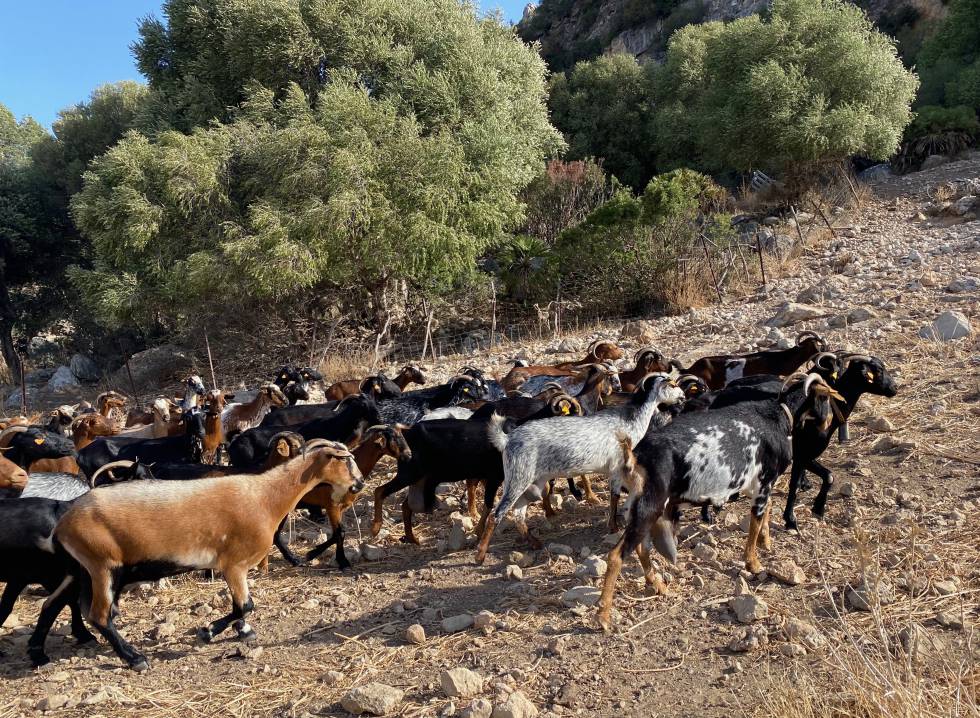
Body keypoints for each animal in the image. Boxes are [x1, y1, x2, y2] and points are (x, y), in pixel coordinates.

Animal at [43, 442, 362, 671]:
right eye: (345, 459)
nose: (358, 484)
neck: (264, 497)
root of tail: (64, 523)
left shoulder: (235, 568)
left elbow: (240, 606)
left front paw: (240, 631)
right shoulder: (233, 564)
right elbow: (245, 605)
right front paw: (208, 631)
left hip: (83, 569)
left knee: (60, 605)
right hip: (102, 565)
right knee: (99, 614)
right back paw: (135, 658)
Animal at [475, 375, 685, 561]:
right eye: (672, 384)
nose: (683, 397)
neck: (630, 421)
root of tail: (507, 440)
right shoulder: (618, 466)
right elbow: (615, 495)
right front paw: (613, 526)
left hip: (533, 481)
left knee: (518, 514)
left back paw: (535, 543)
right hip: (518, 476)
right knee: (496, 514)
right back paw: (480, 555)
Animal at [595, 374, 841, 630]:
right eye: (826, 397)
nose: (828, 424)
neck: (778, 414)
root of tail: (634, 456)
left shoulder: (757, 484)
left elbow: (767, 510)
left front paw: (766, 542)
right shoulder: (764, 482)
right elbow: (756, 521)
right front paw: (754, 564)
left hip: (642, 508)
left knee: (641, 548)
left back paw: (660, 587)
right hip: (649, 506)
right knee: (617, 555)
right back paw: (603, 616)